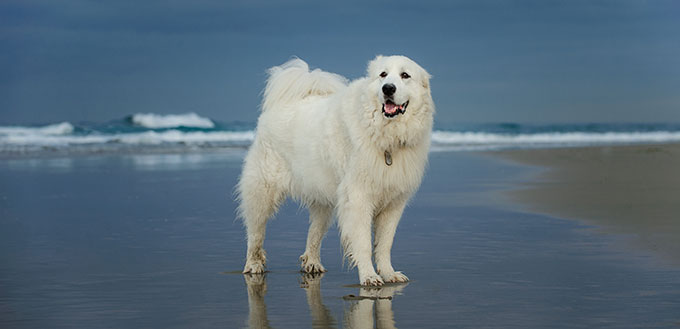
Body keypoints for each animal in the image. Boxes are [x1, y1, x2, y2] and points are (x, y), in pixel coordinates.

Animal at [236, 55, 432, 284]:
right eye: (383, 75)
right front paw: (369, 276)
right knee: (255, 232)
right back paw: (253, 265)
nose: (388, 88)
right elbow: (364, 243)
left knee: (314, 233)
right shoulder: (358, 199)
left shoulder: (393, 204)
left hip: (322, 199)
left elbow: (384, 244)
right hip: (263, 192)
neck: (385, 136)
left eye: (405, 75)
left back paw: (312, 263)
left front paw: (388, 273)